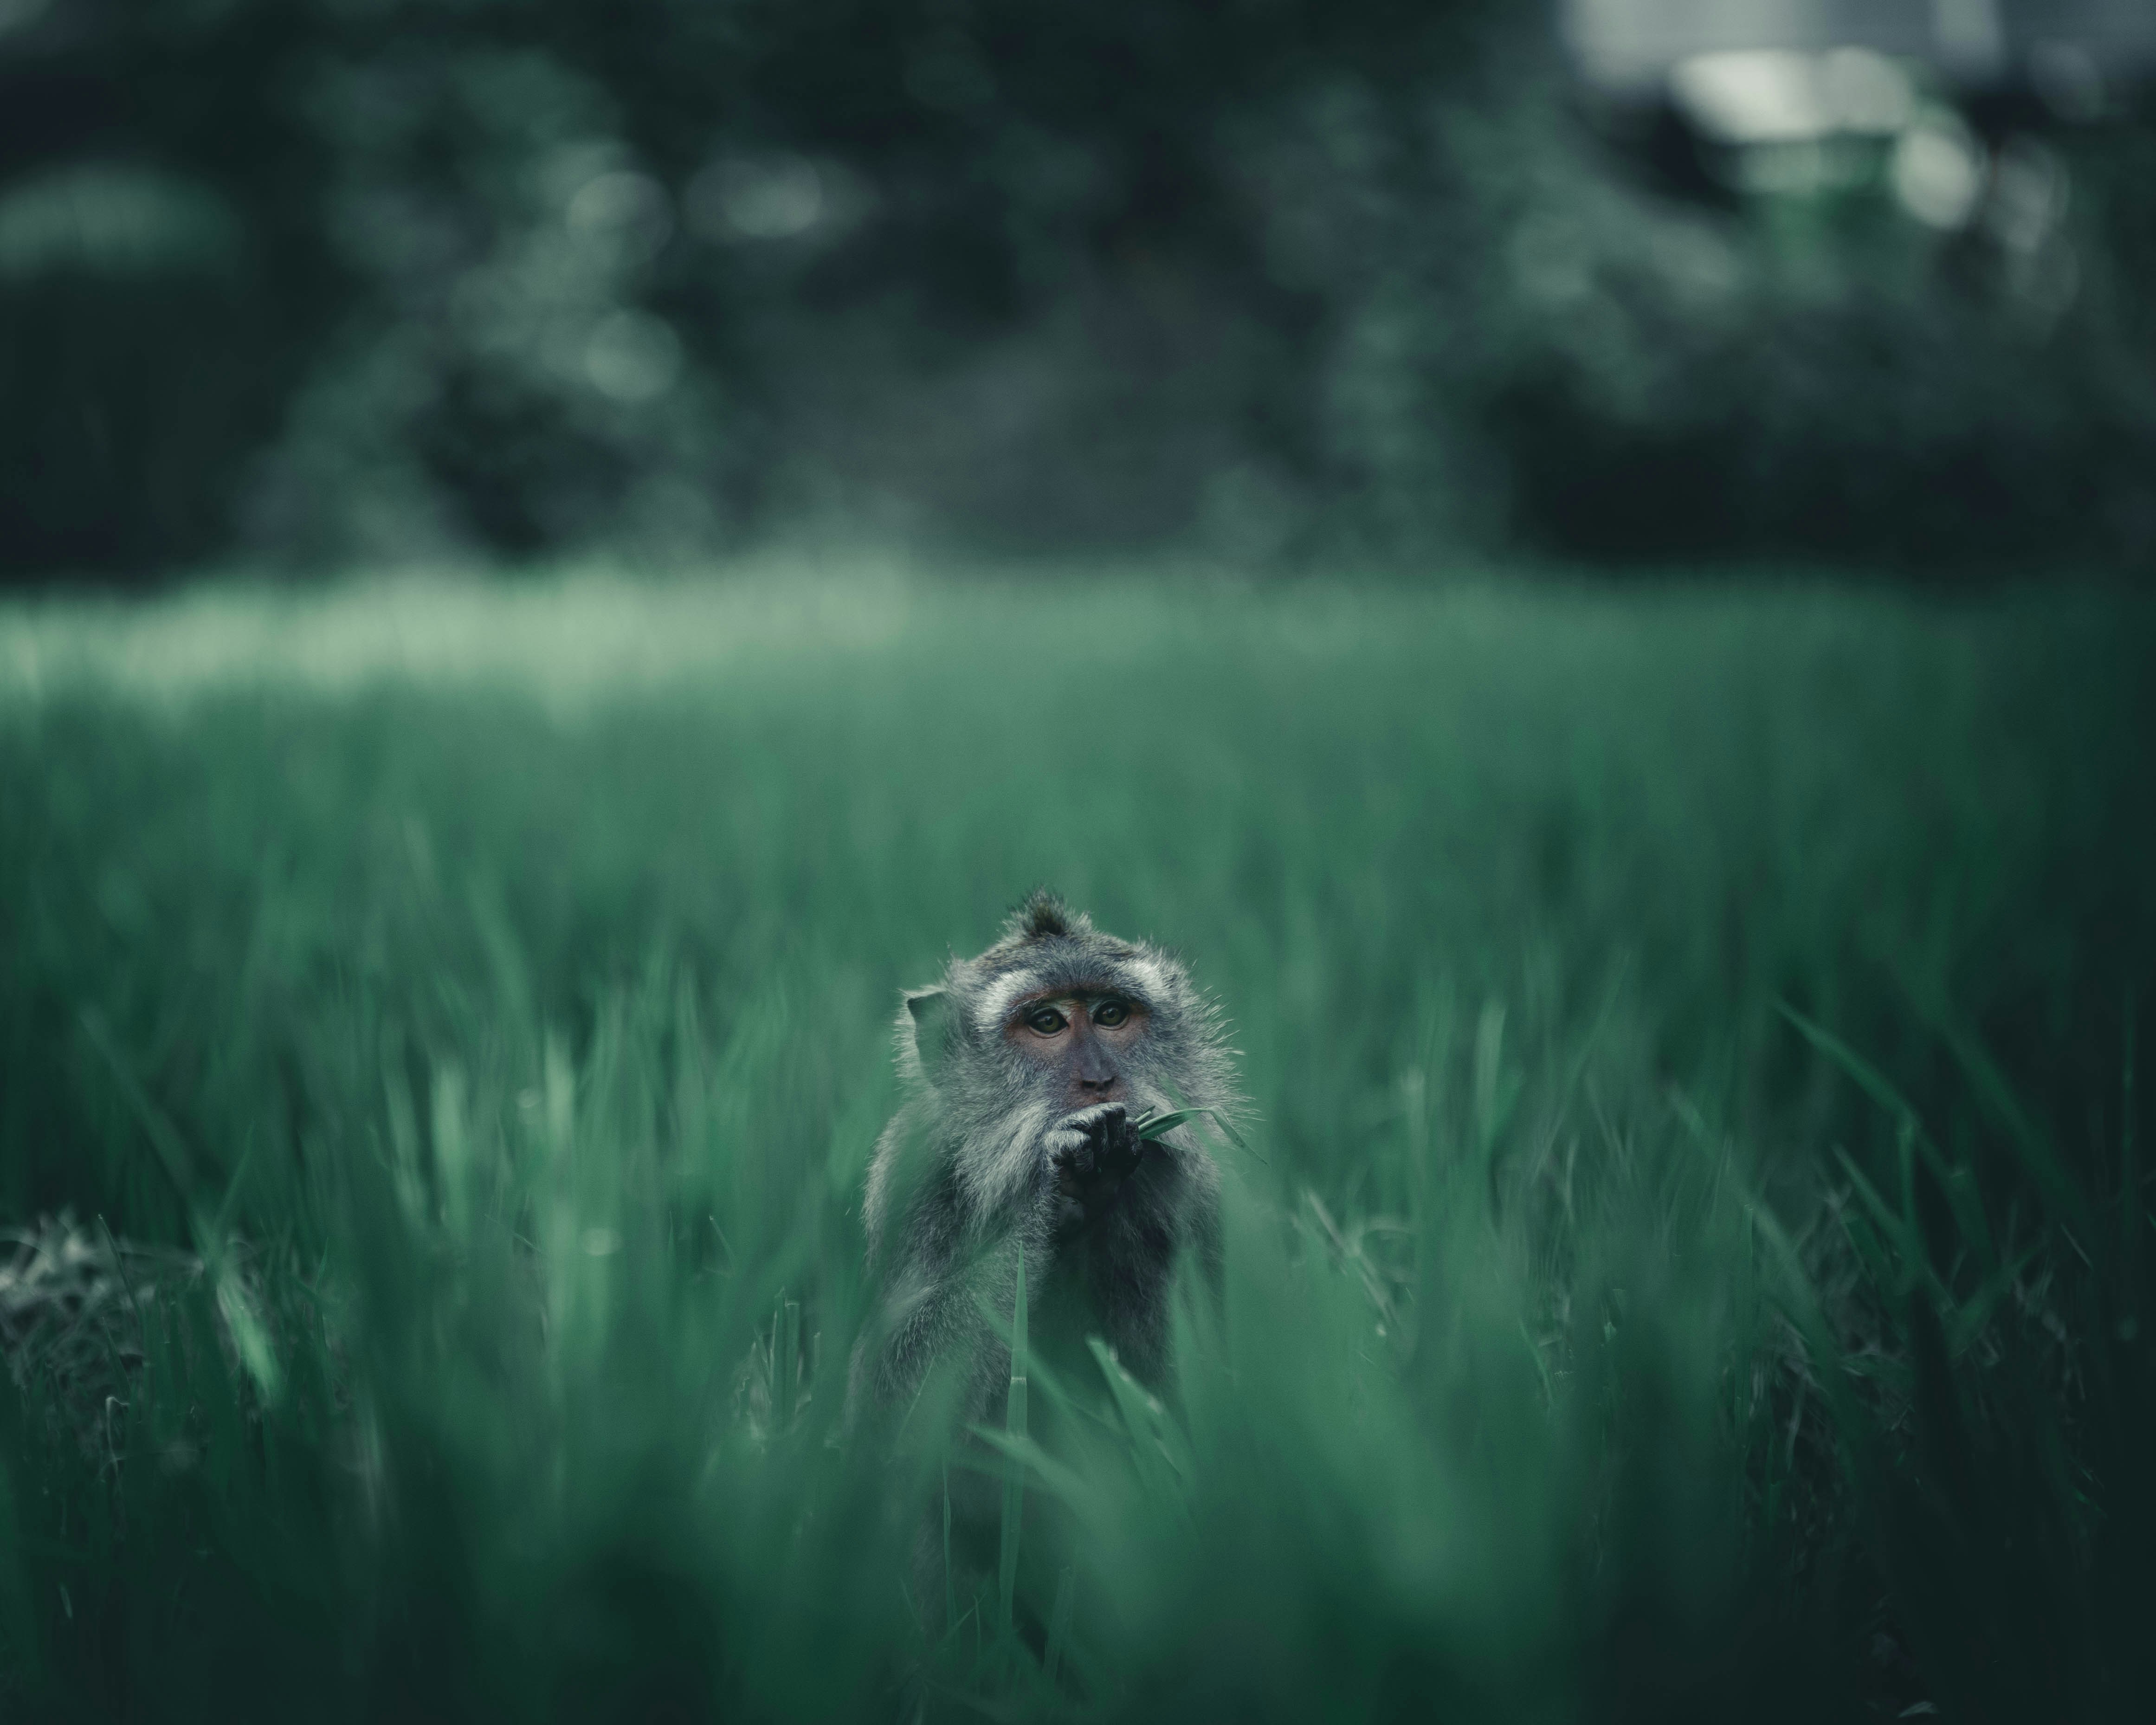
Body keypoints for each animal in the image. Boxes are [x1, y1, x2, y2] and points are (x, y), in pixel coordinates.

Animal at [848, 892, 1241, 1600]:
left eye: (1111, 1014)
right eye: (1047, 1022)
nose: (1099, 1079)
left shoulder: (1210, 1198)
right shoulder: (911, 1182)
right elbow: (887, 1408)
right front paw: (1055, 1193)